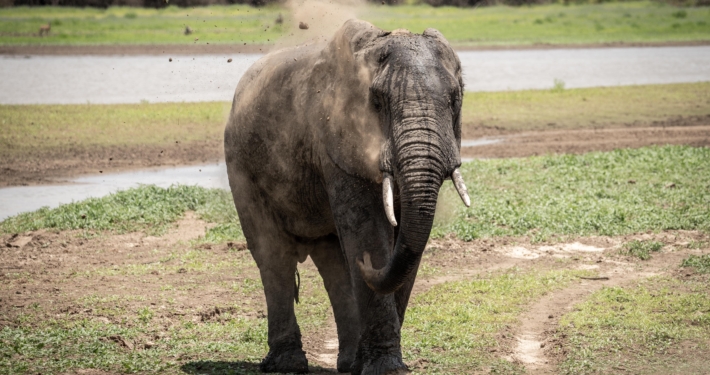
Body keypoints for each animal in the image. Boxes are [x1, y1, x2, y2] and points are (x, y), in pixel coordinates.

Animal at [227, 18, 472, 375]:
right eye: (378, 102)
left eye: (455, 99)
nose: (368, 265)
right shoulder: (338, 144)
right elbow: (368, 232)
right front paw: (386, 369)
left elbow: (405, 242)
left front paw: (380, 365)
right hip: (241, 165)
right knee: (274, 256)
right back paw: (289, 363)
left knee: (333, 265)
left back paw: (347, 363)